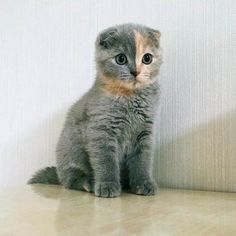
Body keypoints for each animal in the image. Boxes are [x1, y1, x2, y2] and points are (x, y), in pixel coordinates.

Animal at [28, 23, 162, 197]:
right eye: (121, 59)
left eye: (147, 58)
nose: (136, 72)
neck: (129, 96)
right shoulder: (101, 131)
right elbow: (106, 161)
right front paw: (107, 186)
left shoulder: (145, 132)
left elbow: (142, 161)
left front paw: (143, 184)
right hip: (71, 149)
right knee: (70, 179)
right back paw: (87, 183)